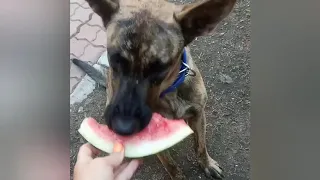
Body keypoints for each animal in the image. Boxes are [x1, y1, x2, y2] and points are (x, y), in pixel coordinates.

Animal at [71, 0, 236, 179]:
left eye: (159, 67)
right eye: (115, 59)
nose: (122, 128)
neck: (170, 92)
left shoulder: (199, 114)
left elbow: (200, 146)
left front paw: (207, 164)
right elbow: (170, 164)